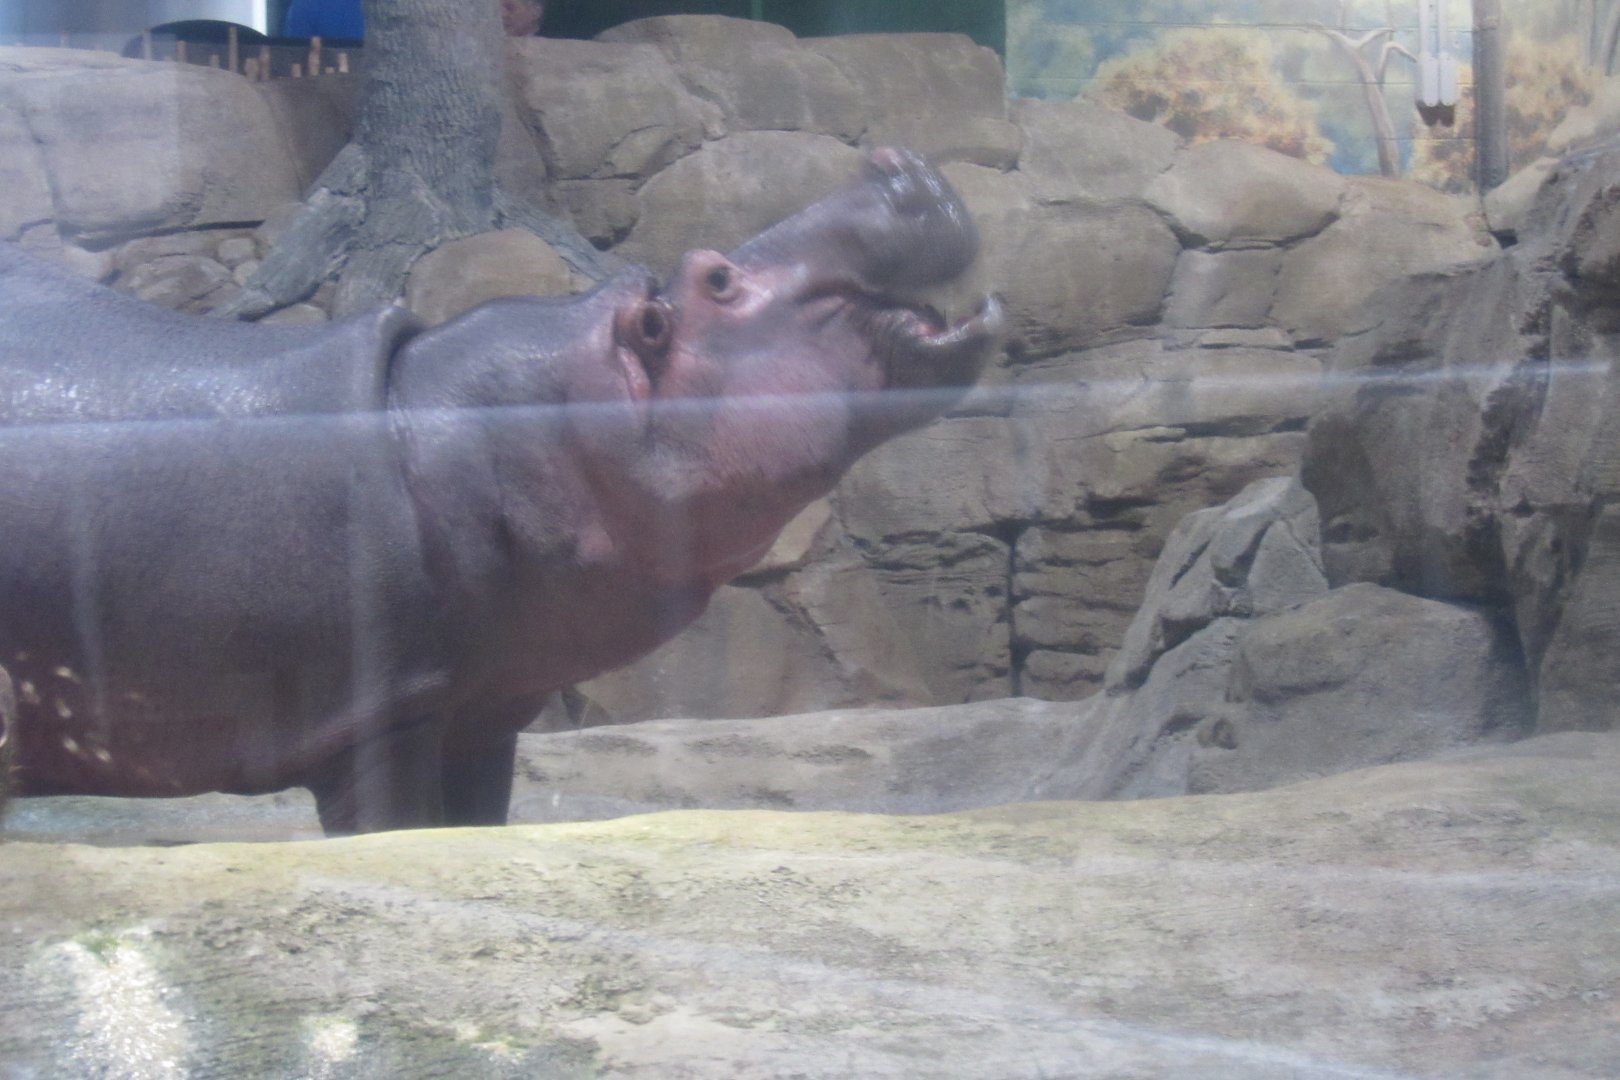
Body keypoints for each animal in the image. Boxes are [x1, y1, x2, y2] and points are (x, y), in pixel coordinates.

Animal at [0, 148, 1001, 833]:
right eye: (717, 278)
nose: (893, 169)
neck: (433, 417)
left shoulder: (476, 710)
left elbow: (478, 829)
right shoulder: (381, 712)